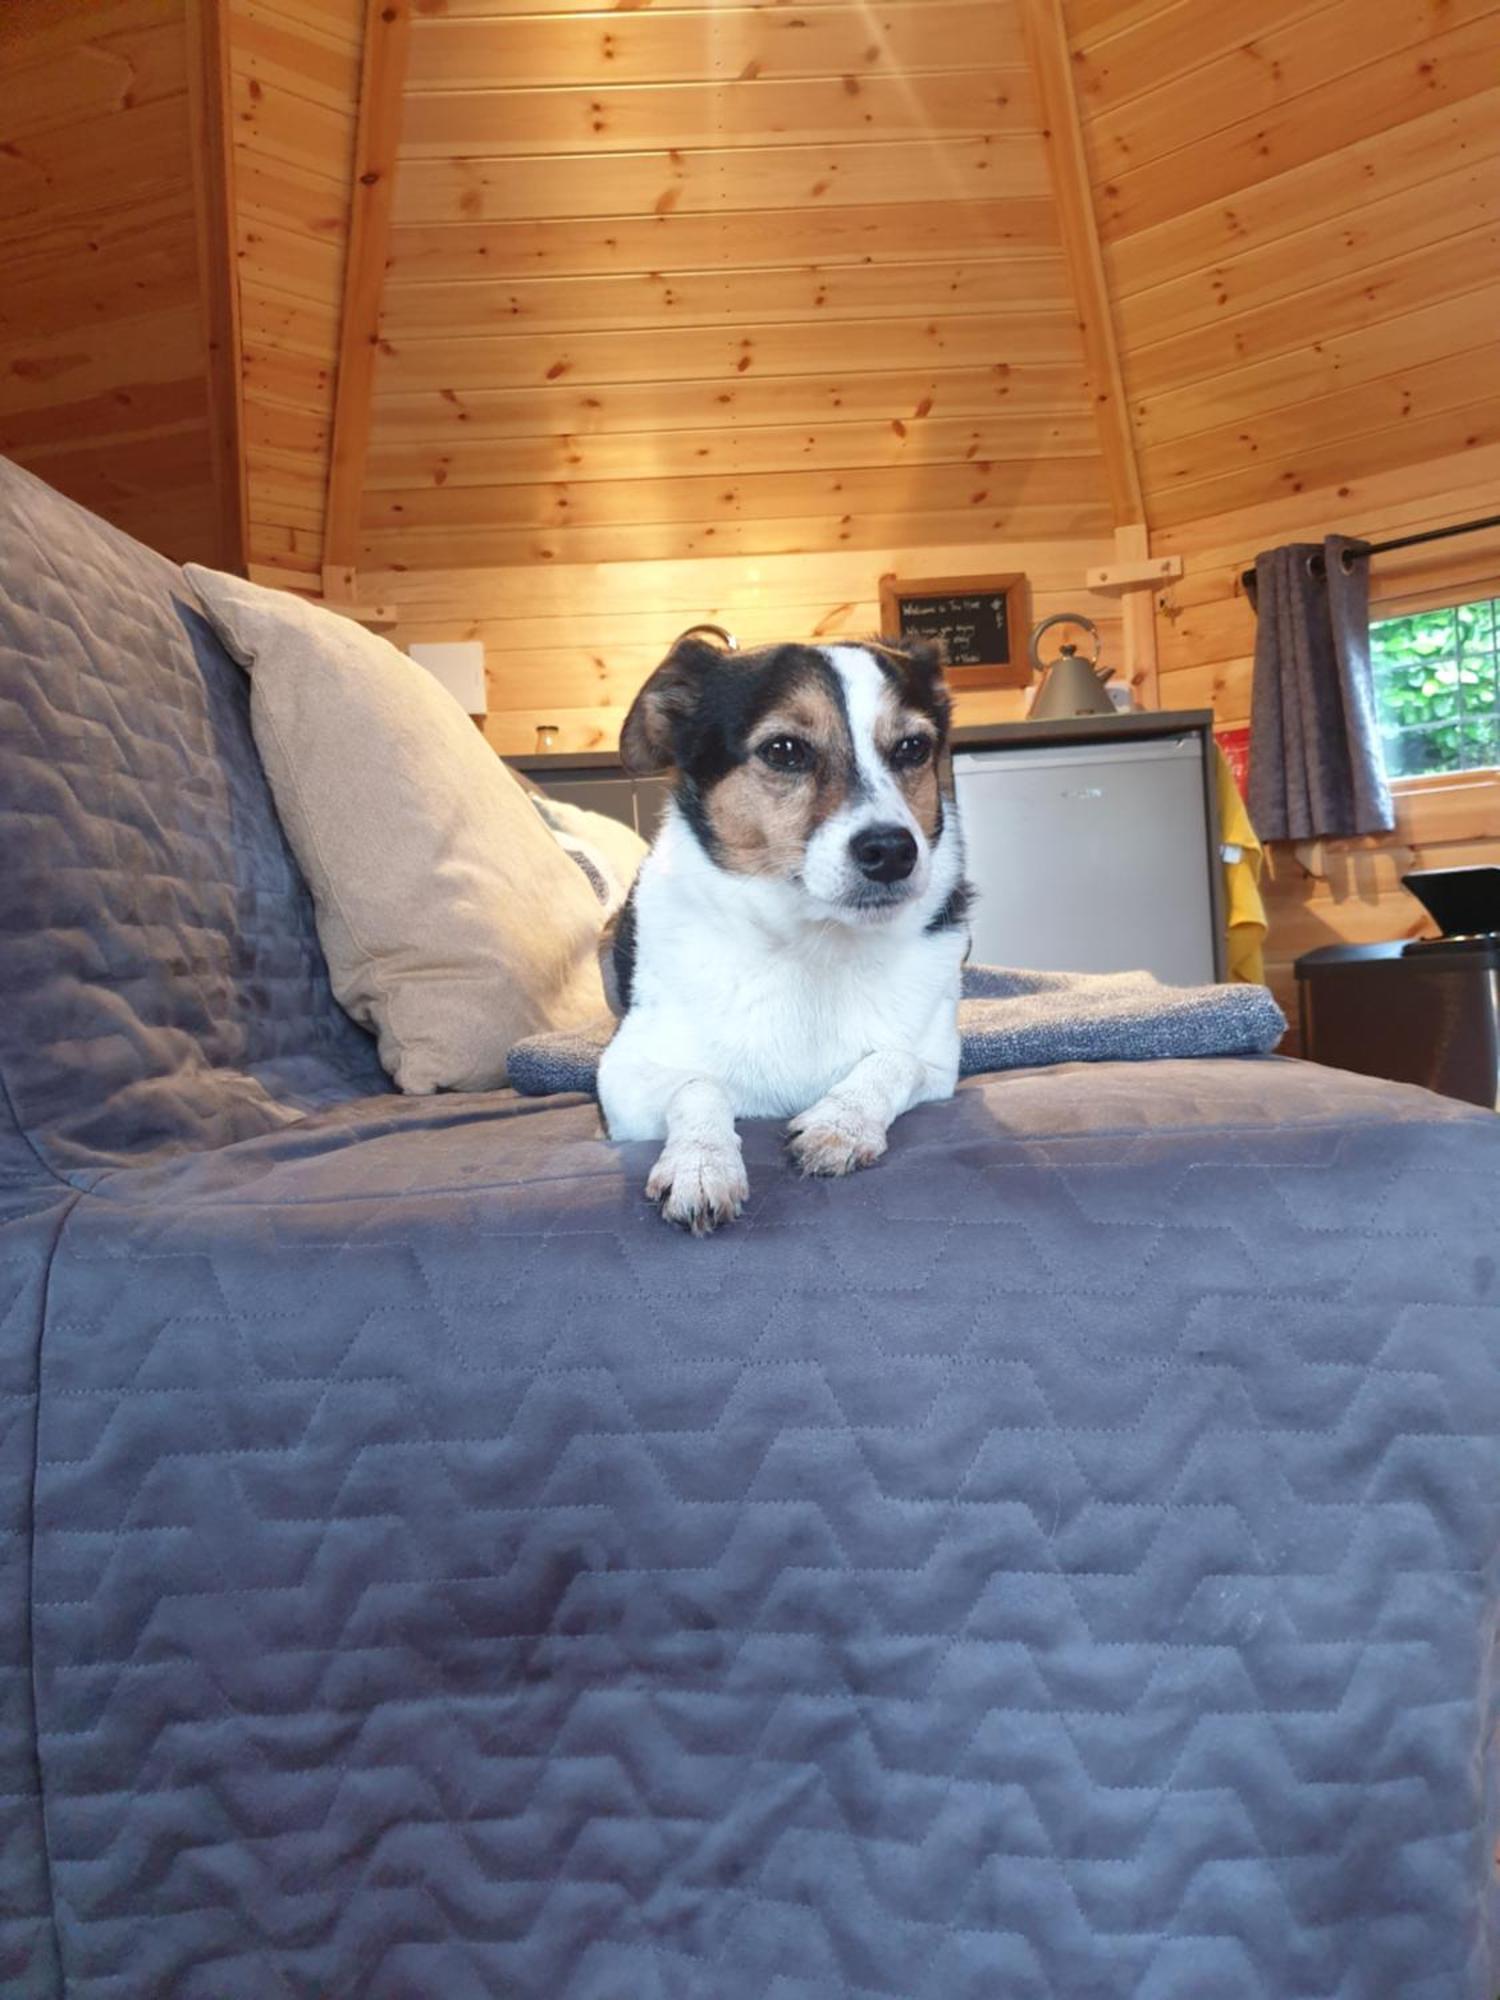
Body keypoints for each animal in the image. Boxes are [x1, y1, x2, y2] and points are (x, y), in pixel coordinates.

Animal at [600, 636, 976, 1232]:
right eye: (784, 750)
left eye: (913, 748)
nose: (893, 851)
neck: (812, 943)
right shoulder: (621, 1081)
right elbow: (698, 1084)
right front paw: (701, 1164)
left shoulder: (941, 1065)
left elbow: (895, 1060)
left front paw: (841, 1122)